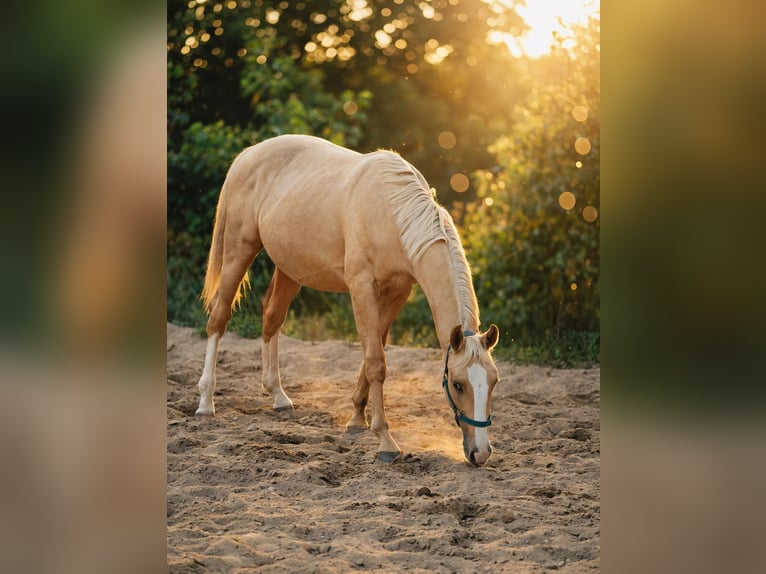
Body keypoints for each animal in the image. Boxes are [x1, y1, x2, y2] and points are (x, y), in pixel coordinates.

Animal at [195, 134, 501, 465]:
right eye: (457, 384)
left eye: (493, 381)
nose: (480, 452)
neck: (391, 212)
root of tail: (248, 154)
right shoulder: (361, 287)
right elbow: (376, 361)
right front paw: (385, 440)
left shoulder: (397, 292)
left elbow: (373, 350)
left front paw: (356, 419)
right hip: (239, 251)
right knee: (218, 318)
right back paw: (206, 402)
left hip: (290, 268)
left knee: (272, 316)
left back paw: (278, 396)